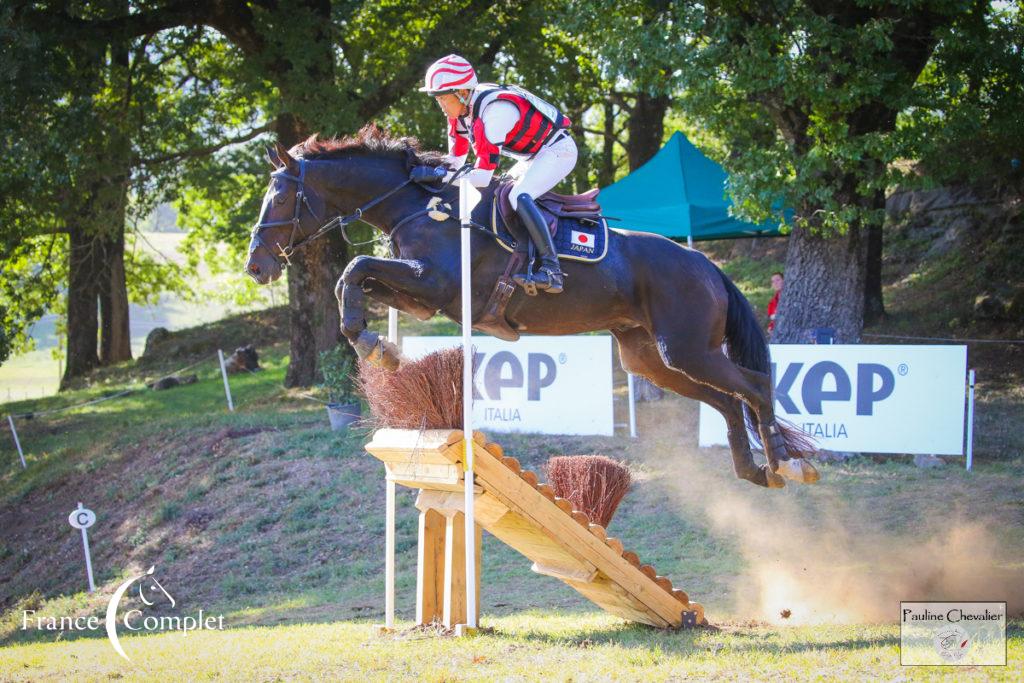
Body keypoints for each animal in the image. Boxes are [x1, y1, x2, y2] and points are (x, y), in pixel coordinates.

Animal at [243, 125, 819, 489]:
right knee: (726, 401)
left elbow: (354, 268)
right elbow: (354, 277)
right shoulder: (420, 297)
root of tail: (706, 264)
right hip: (653, 359)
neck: (419, 205)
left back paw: (785, 463)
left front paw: (370, 343)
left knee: (755, 386)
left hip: (686, 348)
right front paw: (375, 343)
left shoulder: (434, 285)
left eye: (279, 196)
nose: (255, 266)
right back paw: (754, 471)